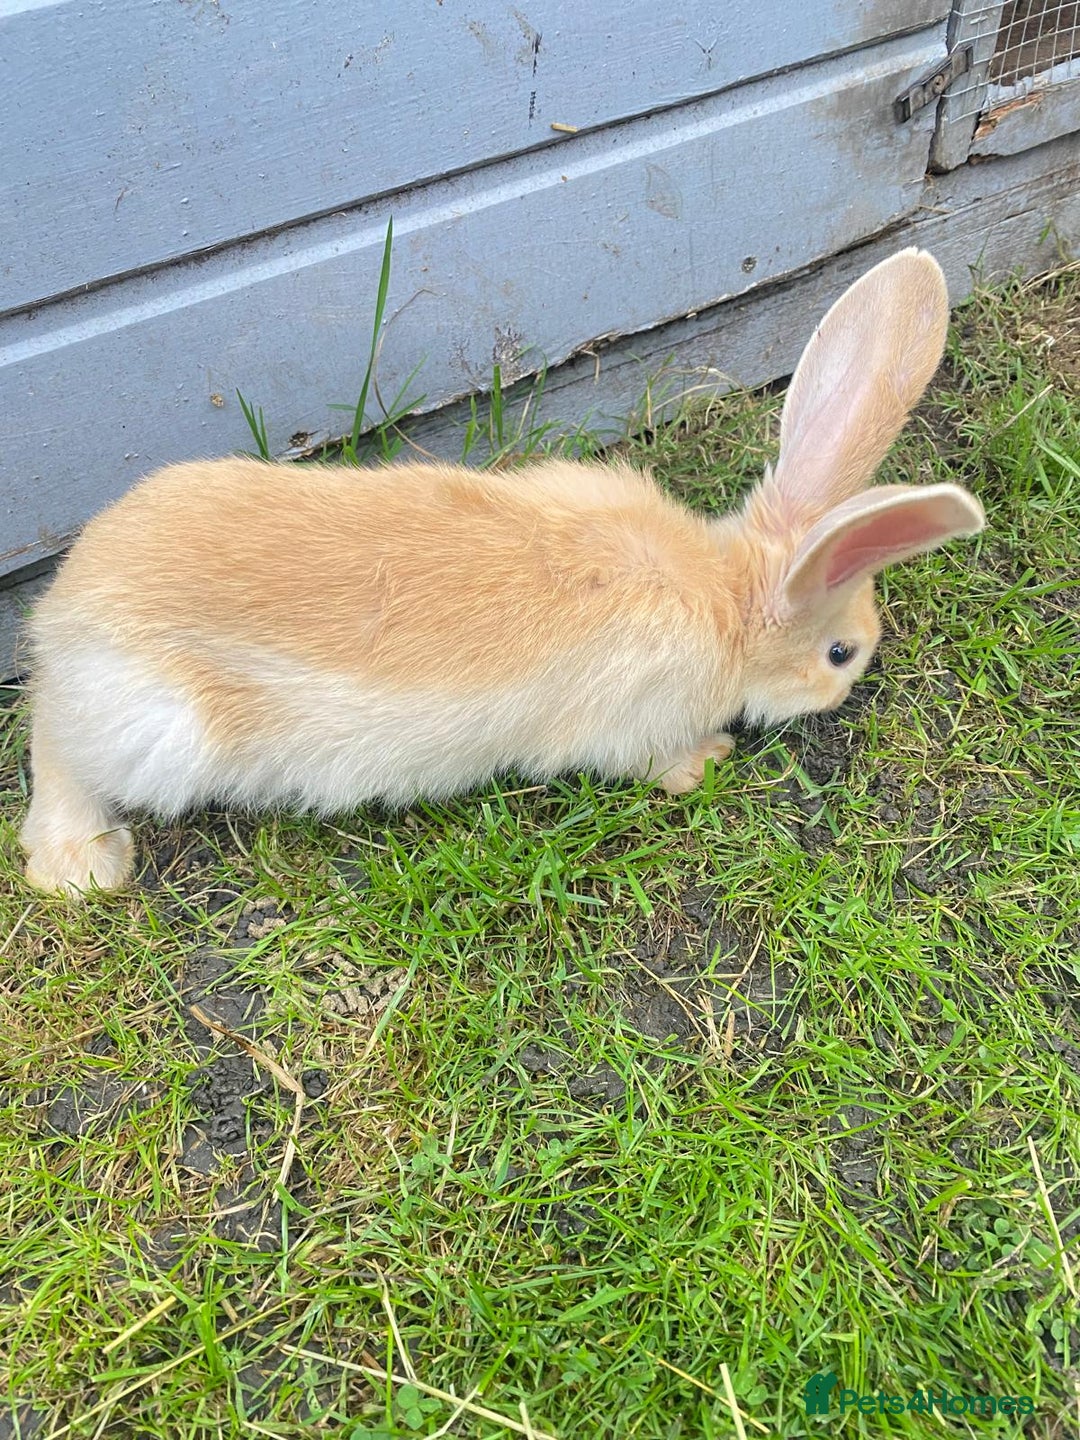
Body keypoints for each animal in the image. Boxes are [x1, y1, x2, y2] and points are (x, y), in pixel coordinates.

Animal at [20, 248, 984, 897]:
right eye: (841, 655)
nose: (847, 689)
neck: (727, 600)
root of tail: (61, 620)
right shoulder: (634, 720)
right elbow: (650, 762)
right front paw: (705, 762)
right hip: (160, 731)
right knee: (60, 754)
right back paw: (85, 866)